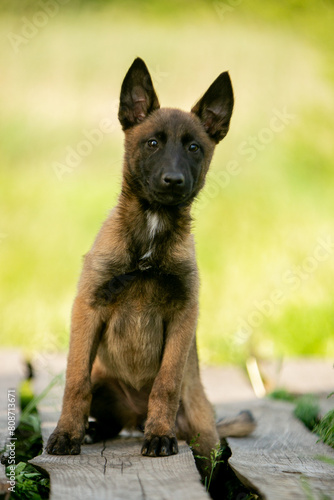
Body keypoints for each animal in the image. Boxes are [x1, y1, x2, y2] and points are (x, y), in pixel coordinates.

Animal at [47, 57, 254, 480]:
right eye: (153, 143)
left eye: (194, 147)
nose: (172, 180)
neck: (151, 230)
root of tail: (135, 416)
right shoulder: (88, 306)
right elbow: (75, 382)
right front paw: (66, 434)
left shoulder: (183, 313)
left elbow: (166, 382)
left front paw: (159, 436)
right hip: (105, 381)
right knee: (104, 413)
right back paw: (91, 431)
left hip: (201, 424)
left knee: (209, 449)